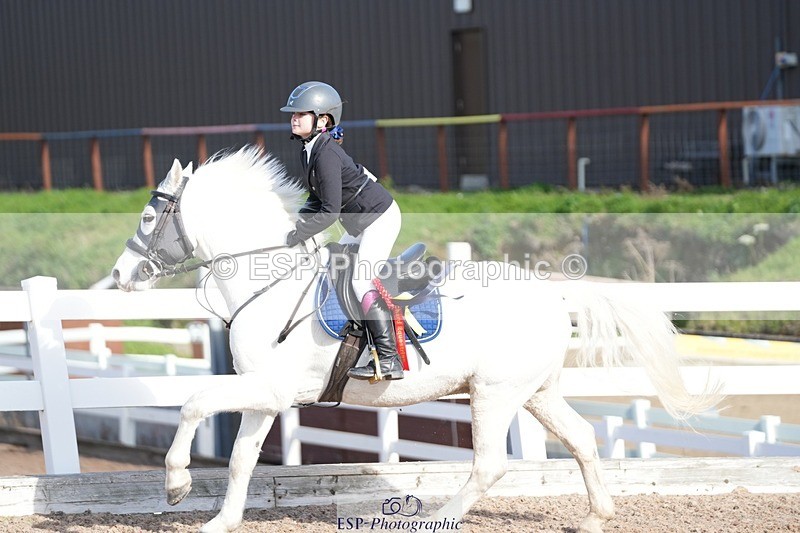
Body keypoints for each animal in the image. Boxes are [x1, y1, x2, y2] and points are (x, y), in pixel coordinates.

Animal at [111, 146, 718, 533]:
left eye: (148, 216)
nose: (119, 277)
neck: (269, 280)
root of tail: (552, 293)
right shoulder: (263, 393)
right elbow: (240, 459)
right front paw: (221, 521)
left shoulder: (272, 389)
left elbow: (193, 403)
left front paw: (176, 485)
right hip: (535, 393)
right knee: (584, 439)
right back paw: (595, 517)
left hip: (494, 393)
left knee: (490, 465)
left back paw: (437, 518)